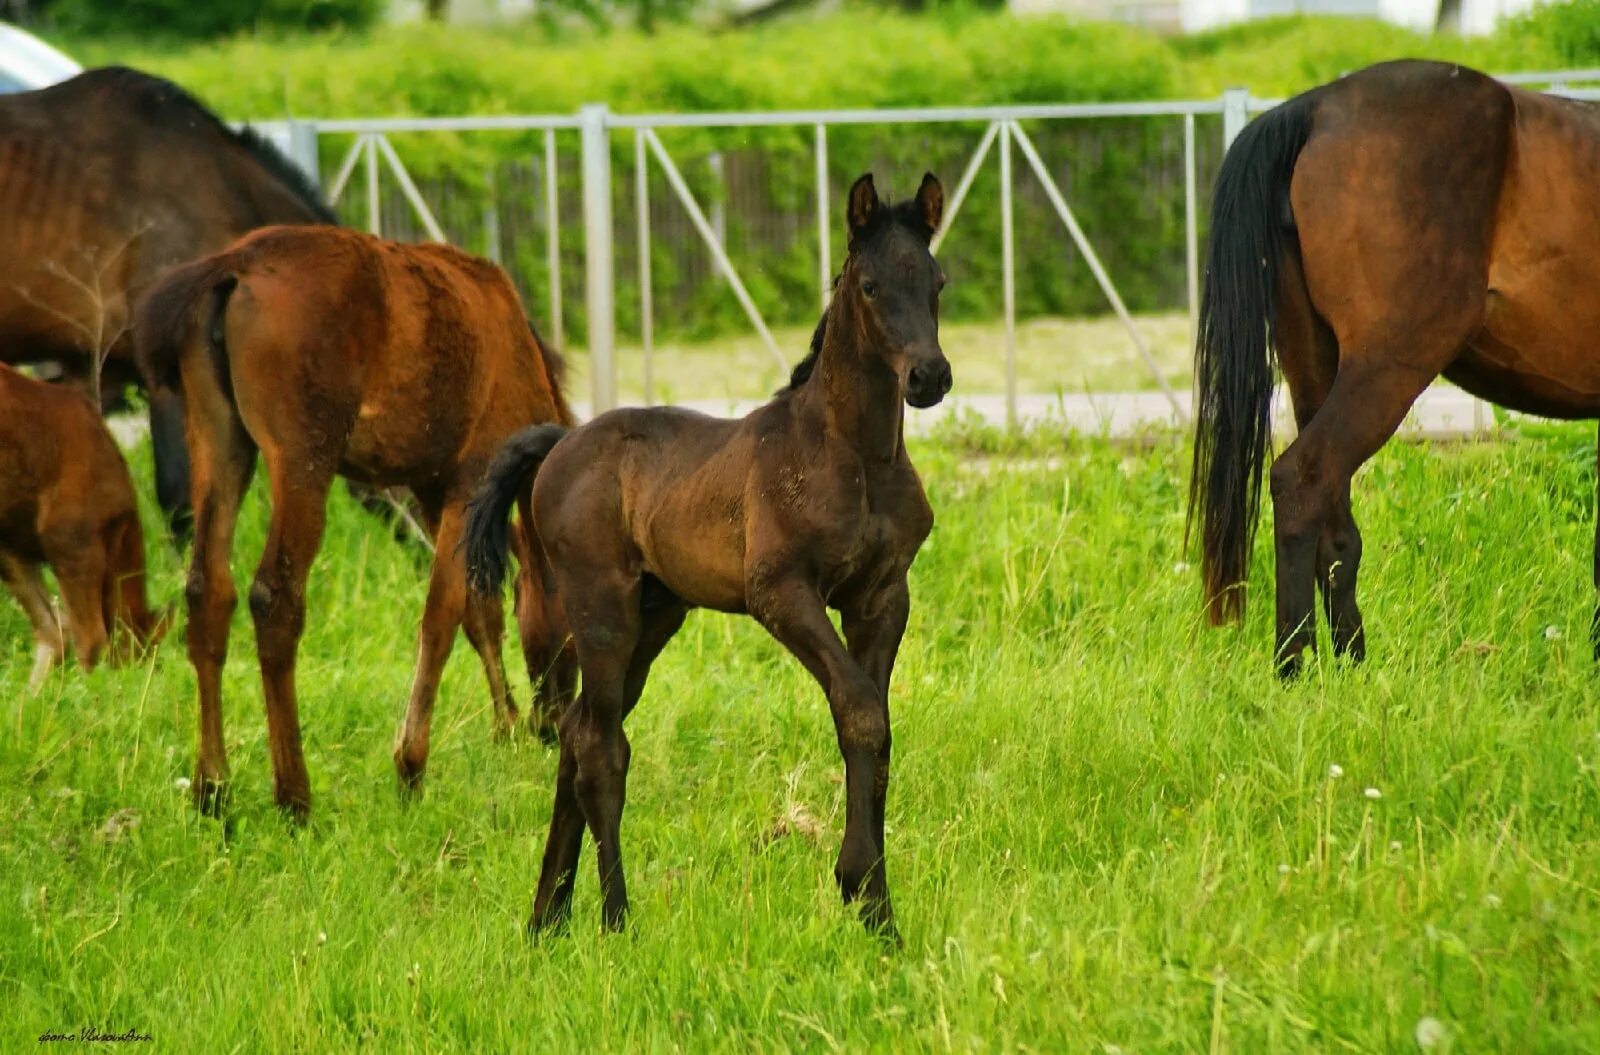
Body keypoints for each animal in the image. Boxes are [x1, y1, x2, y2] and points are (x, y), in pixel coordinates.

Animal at [0, 365, 165, 694]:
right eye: (143, 652)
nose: (139, 677)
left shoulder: (11, 547)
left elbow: (53, 630)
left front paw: (31, 701)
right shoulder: (72, 541)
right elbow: (91, 639)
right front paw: (91, 699)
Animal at [136, 225, 576, 816]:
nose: (551, 724)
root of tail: (234, 267)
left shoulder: (434, 489)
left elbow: (477, 612)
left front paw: (504, 726)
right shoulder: (469, 478)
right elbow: (442, 616)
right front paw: (412, 764)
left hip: (219, 440)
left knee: (208, 590)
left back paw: (214, 788)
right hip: (303, 456)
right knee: (275, 598)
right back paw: (294, 796)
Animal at [467, 173, 953, 941]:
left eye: (937, 281)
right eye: (870, 286)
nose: (929, 377)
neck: (856, 455)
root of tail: (558, 444)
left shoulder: (882, 597)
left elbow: (871, 723)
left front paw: (874, 908)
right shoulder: (781, 593)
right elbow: (858, 710)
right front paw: (862, 889)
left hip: (656, 614)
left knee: (577, 731)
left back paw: (548, 916)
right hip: (603, 610)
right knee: (601, 743)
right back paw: (614, 916)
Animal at [1190, 60, 1600, 675]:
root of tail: (1319, 108)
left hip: (1315, 365)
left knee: (1335, 524)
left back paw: (1352, 670)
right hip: (1386, 368)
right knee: (1303, 480)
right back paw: (1294, 668)